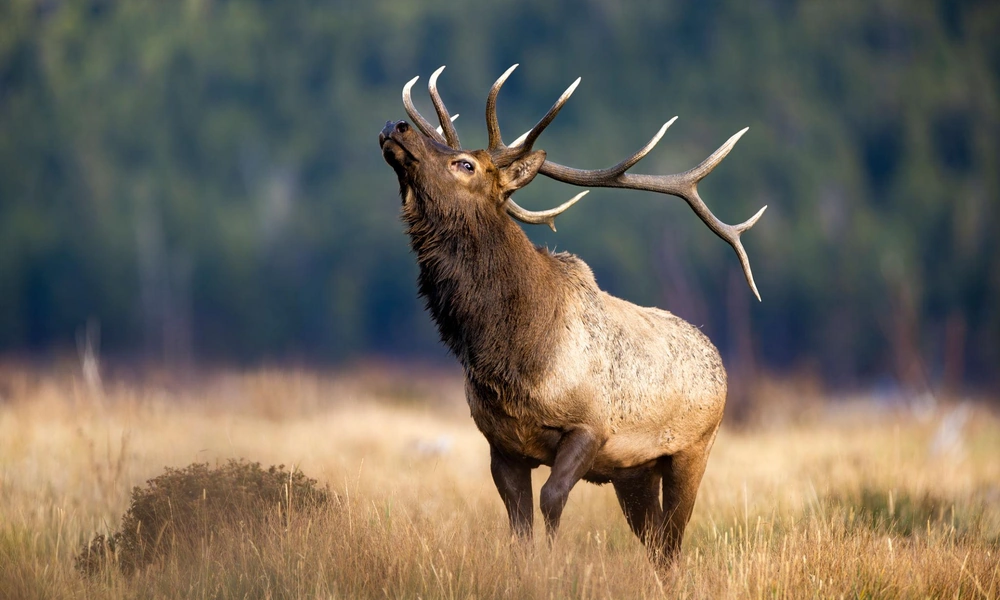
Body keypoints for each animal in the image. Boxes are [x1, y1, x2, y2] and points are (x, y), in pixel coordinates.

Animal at [378, 65, 766, 565]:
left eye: (465, 164)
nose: (396, 126)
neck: (514, 356)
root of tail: (717, 357)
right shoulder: (501, 443)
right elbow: (519, 523)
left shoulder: (590, 427)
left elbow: (551, 499)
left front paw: (553, 561)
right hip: (634, 472)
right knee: (656, 541)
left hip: (694, 448)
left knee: (672, 543)